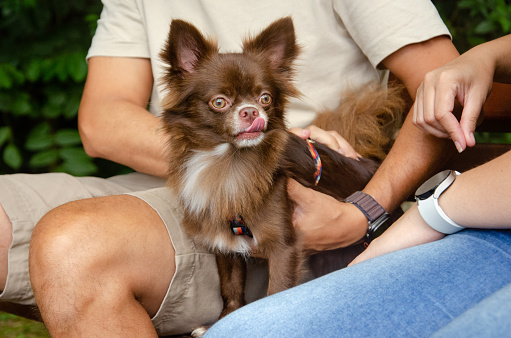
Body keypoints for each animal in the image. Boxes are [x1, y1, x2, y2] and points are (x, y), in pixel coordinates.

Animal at [159, 17, 404, 334]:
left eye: (265, 98)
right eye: (219, 102)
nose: (251, 111)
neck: (228, 162)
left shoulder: (284, 247)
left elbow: (276, 293)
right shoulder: (224, 243)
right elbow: (231, 287)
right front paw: (225, 319)